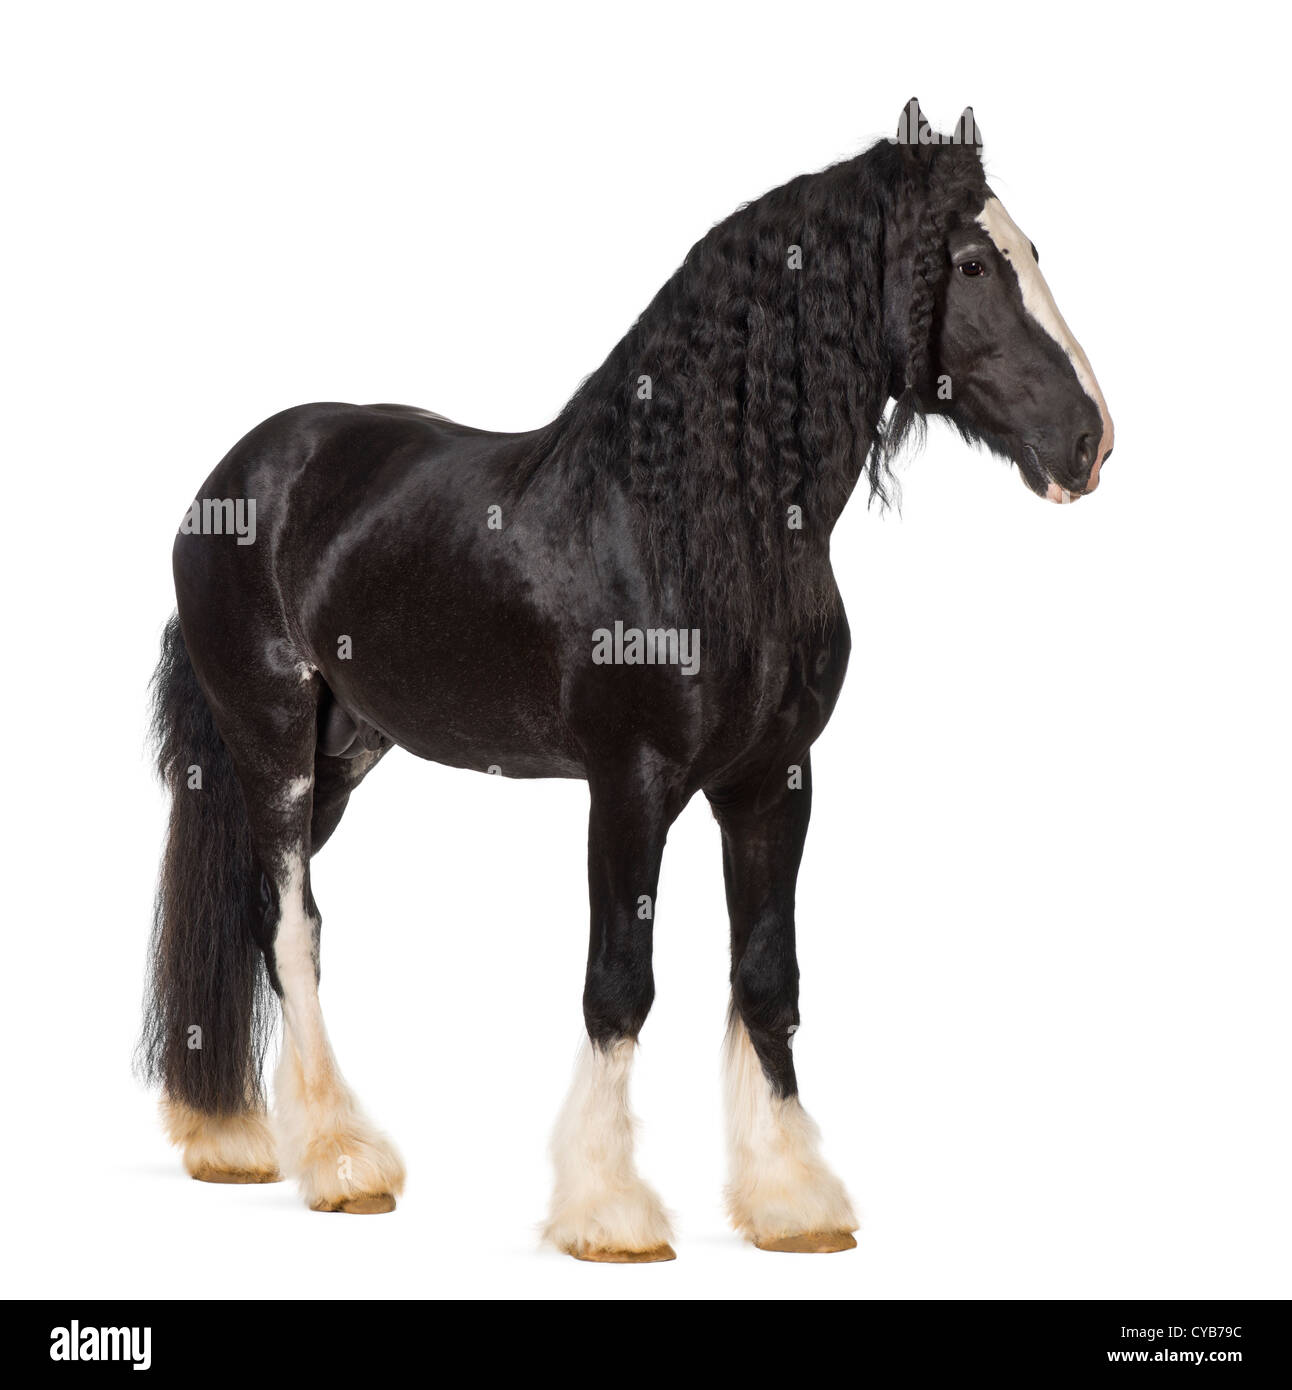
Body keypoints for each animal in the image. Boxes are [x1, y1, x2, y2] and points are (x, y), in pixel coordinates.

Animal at [139, 99, 1113, 1260]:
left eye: (1032, 252)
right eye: (969, 262)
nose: (1089, 441)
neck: (687, 521)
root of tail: (235, 476)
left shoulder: (773, 781)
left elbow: (767, 977)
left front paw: (792, 1200)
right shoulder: (630, 784)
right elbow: (619, 983)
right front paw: (608, 1209)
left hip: (345, 751)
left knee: (250, 912)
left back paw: (229, 1139)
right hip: (272, 740)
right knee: (291, 925)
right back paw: (339, 1161)